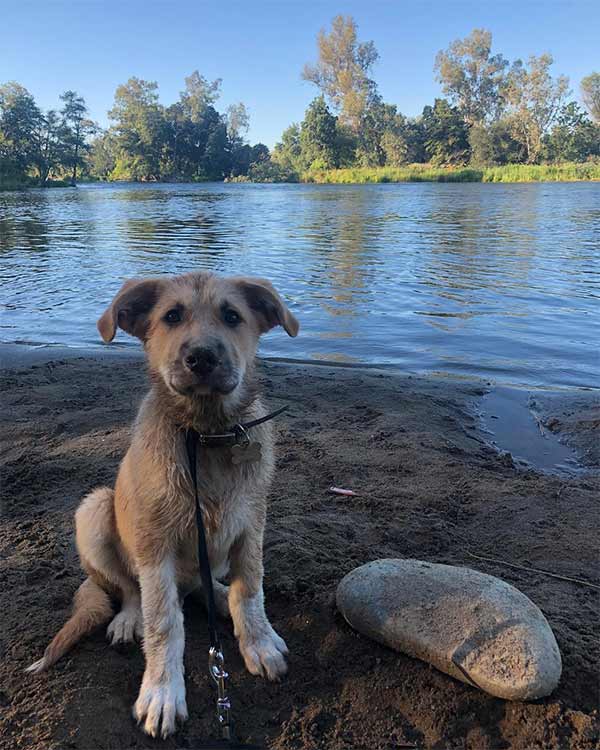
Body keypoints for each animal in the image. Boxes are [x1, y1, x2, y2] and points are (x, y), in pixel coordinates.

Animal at [28, 272, 300, 740]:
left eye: (233, 316)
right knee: (130, 590)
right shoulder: (156, 548)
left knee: (204, 588)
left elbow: (250, 591)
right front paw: (161, 693)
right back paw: (127, 619)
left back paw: (219, 598)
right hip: (94, 509)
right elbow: (163, 623)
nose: (201, 357)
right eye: (171, 316)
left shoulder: (250, 527)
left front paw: (259, 641)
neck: (206, 435)